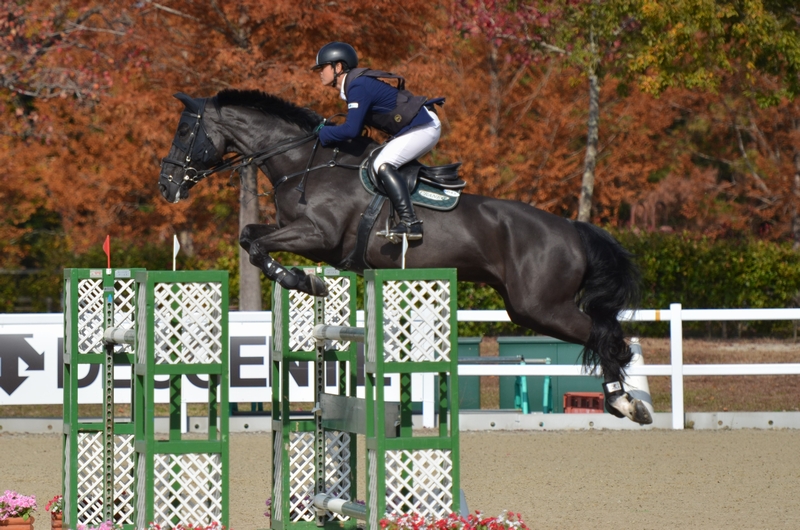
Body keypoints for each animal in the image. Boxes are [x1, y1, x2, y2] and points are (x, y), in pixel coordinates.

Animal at [159, 88, 652, 422]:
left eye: (185, 130)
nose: (166, 187)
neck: (304, 162)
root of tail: (572, 228)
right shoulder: (296, 232)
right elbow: (250, 236)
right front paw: (303, 279)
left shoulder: (317, 235)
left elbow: (258, 245)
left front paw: (303, 280)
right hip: (525, 307)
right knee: (603, 333)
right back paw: (622, 401)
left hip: (540, 306)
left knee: (607, 336)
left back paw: (625, 401)